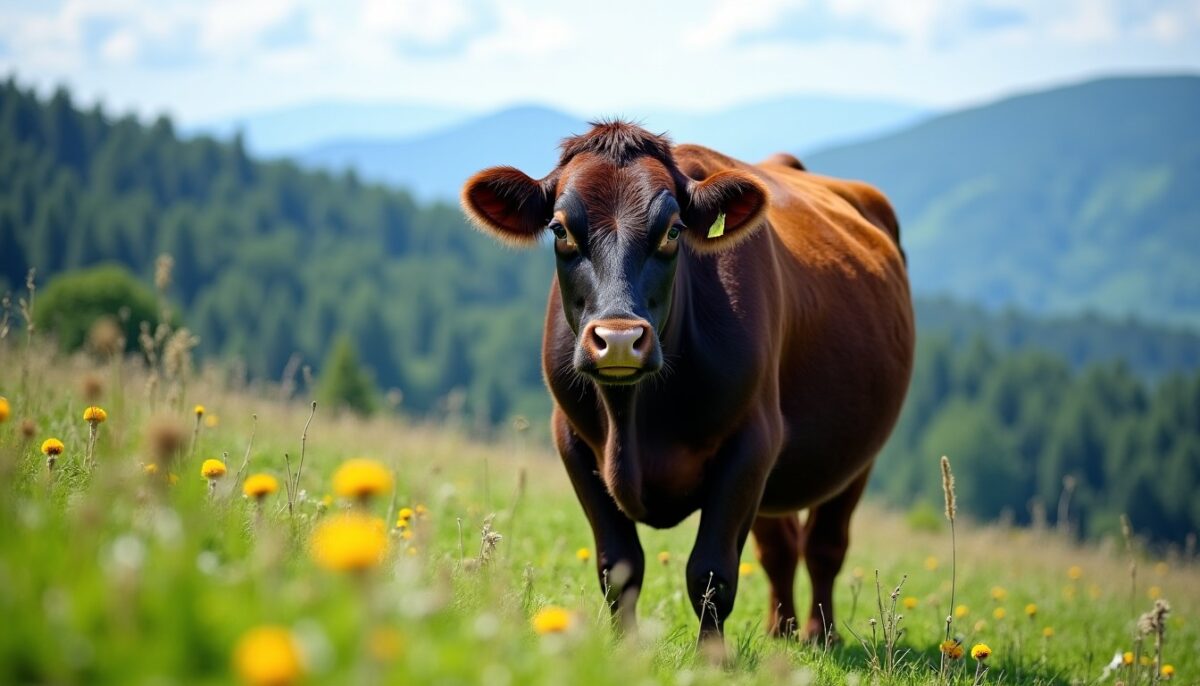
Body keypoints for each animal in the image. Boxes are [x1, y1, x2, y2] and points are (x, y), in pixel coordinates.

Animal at [461, 121, 914, 646]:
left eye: (673, 230)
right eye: (560, 230)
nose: (619, 339)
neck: (636, 422)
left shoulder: (751, 440)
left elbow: (711, 572)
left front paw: (711, 658)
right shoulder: (572, 439)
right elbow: (618, 565)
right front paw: (623, 650)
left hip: (857, 453)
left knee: (825, 544)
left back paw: (820, 636)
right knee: (780, 547)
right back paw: (780, 631)